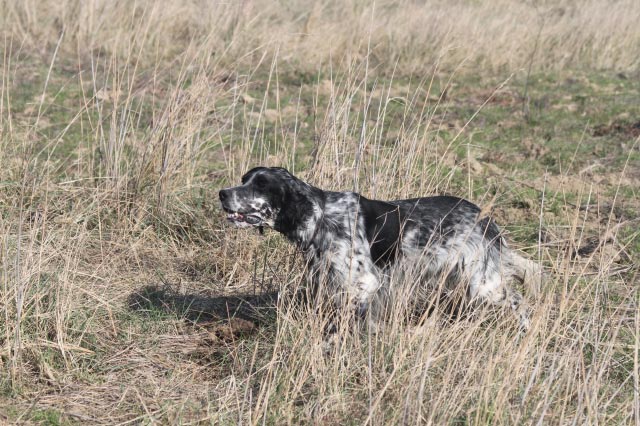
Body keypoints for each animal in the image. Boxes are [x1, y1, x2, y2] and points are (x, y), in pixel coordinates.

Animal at [219, 167, 540, 332]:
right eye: (244, 179)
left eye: (260, 185)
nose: (222, 193)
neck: (321, 216)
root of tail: (486, 219)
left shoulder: (363, 284)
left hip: (483, 284)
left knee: (518, 300)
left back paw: (526, 330)